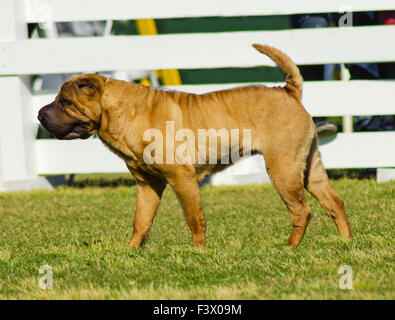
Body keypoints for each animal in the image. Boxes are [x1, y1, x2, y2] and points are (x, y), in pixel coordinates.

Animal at [38, 43, 352, 248]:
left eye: (65, 102)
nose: (40, 114)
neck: (122, 114)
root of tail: (288, 92)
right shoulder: (147, 184)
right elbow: (141, 220)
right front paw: (130, 251)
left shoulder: (182, 178)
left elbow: (194, 218)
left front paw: (198, 252)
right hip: (309, 166)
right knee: (334, 202)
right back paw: (346, 241)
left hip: (282, 168)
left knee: (302, 211)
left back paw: (289, 247)